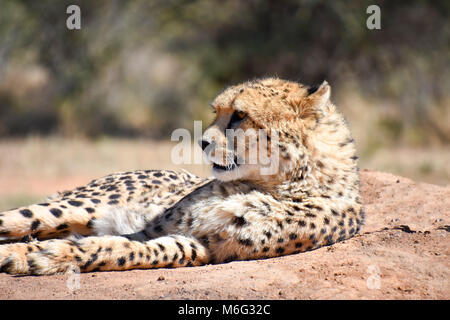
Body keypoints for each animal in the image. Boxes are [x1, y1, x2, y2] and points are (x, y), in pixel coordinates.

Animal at [0, 77, 362, 276]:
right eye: (217, 112)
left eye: (240, 115)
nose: (202, 141)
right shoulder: (154, 226)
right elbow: (122, 242)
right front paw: (26, 254)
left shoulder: (202, 247)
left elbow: (126, 249)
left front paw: (47, 256)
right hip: (80, 206)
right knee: (23, 218)